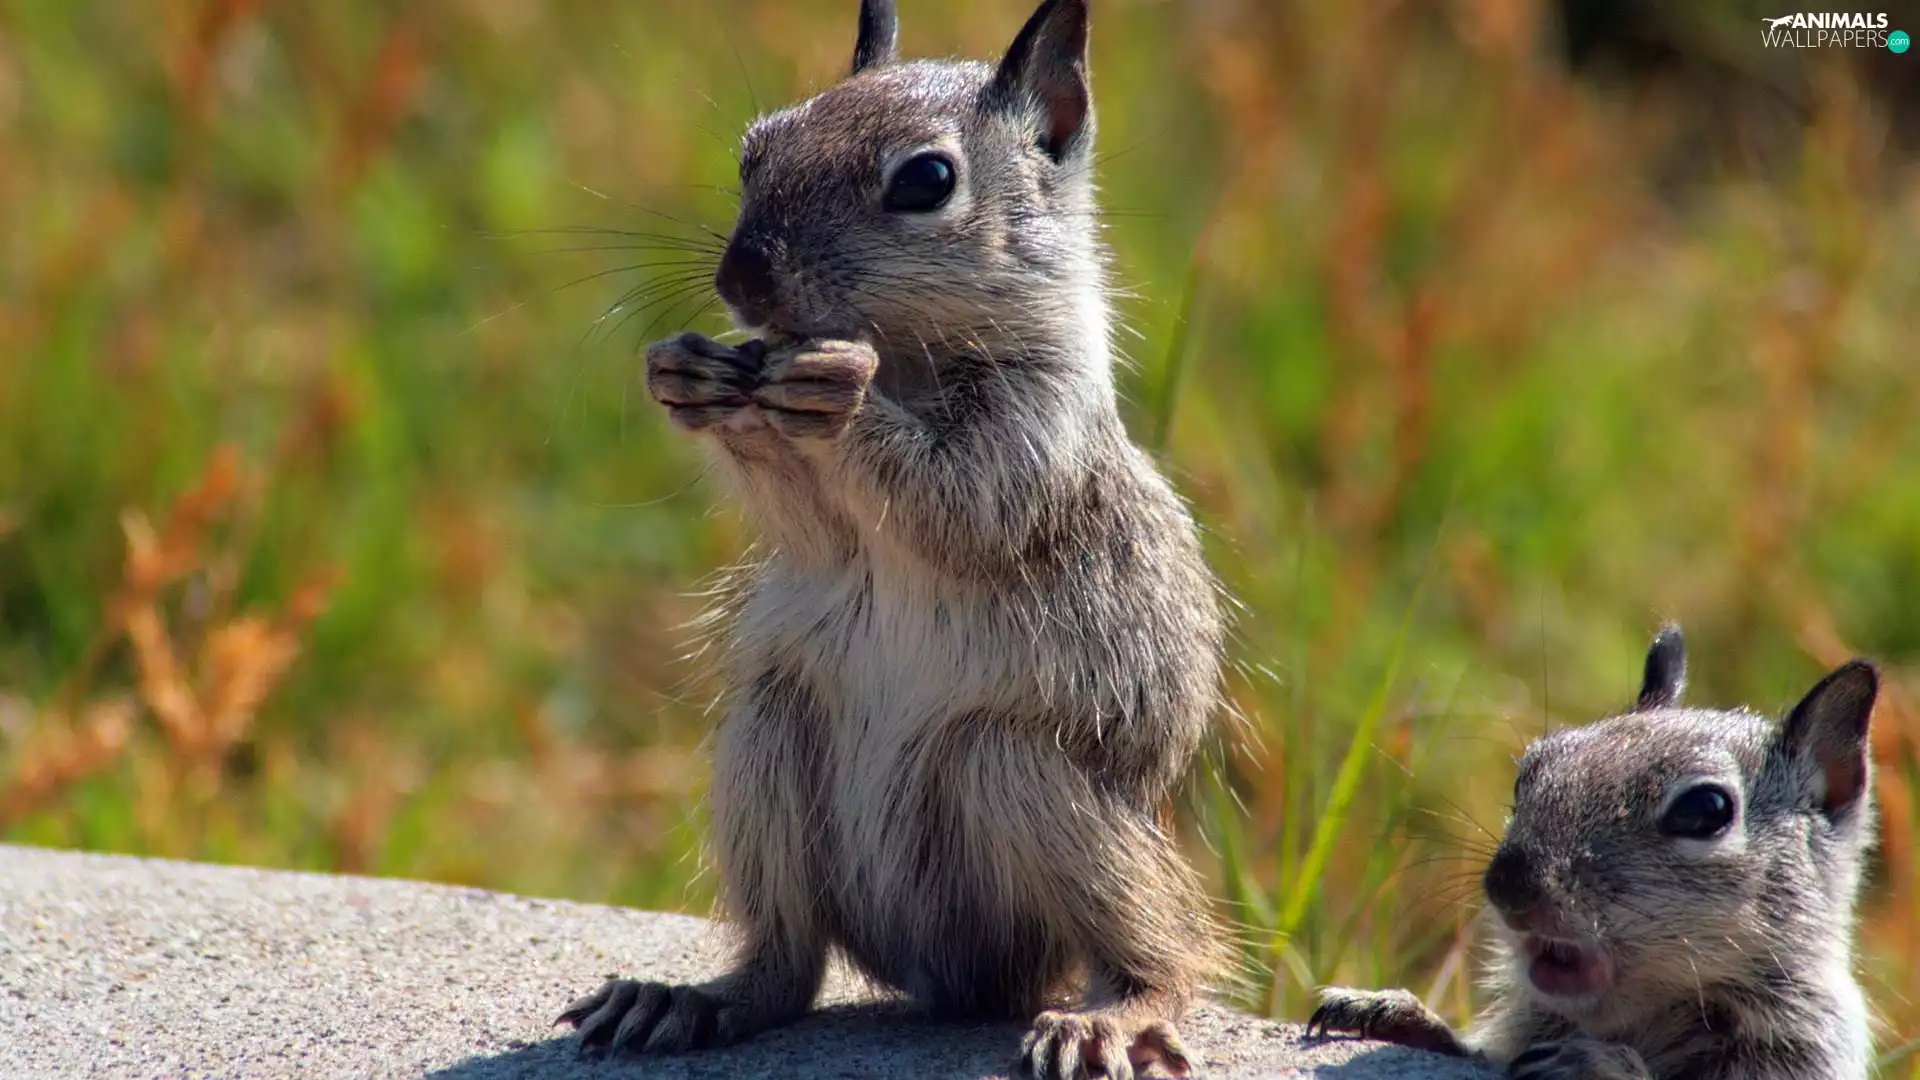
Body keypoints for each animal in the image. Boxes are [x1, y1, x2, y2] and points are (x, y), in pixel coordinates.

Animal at [554, 2, 1228, 1078]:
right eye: (754, 149)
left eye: (926, 181)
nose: (742, 279)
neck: (906, 351)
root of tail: (940, 979)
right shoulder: (820, 524)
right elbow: (814, 527)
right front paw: (690, 375)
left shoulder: (1033, 433)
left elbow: (959, 502)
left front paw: (840, 394)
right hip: (770, 746)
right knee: (786, 965)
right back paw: (687, 1001)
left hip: (1026, 779)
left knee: (1159, 947)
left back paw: (1111, 1015)